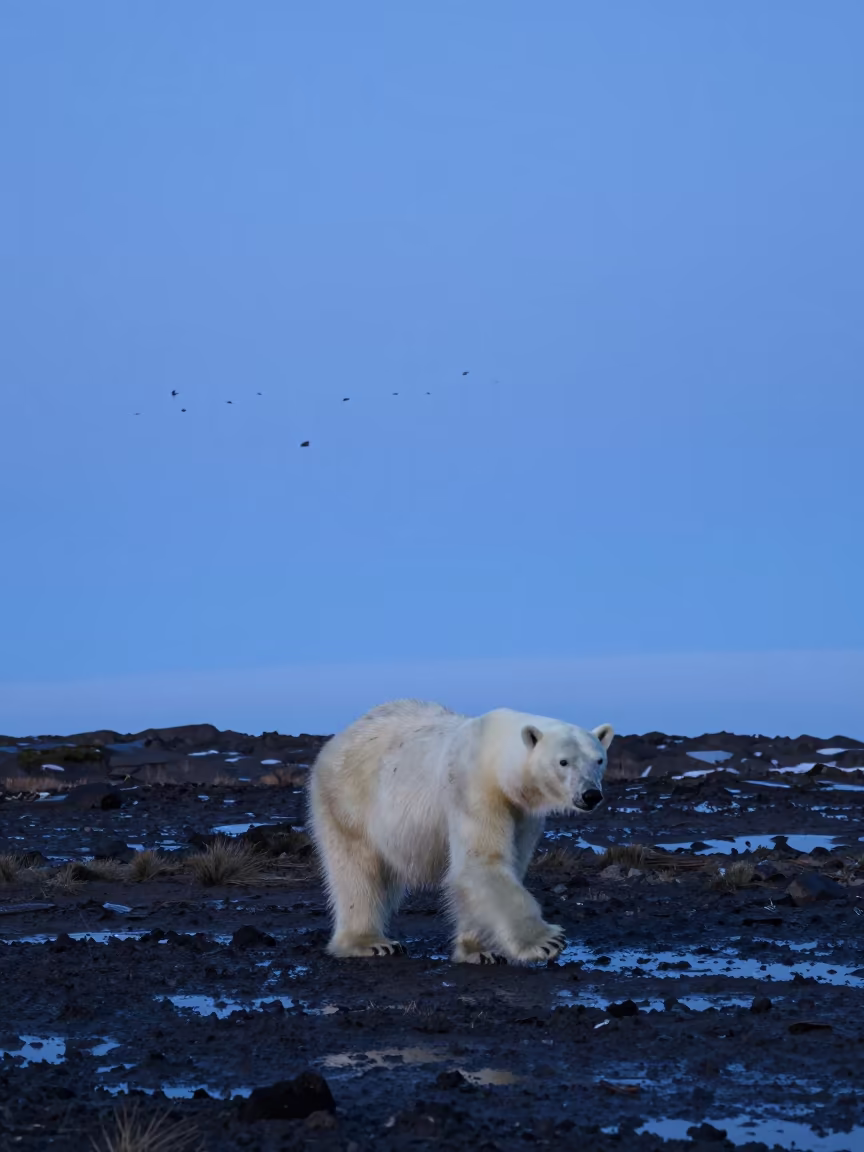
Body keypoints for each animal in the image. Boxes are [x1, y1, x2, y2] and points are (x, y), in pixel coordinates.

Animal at [307, 699, 613, 965]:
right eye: (563, 762)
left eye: (599, 760)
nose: (590, 794)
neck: (494, 753)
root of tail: (340, 737)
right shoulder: (474, 789)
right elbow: (482, 861)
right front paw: (546, 941)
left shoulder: (522, 812)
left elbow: (499, 870)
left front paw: (480, 951)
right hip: (349, 799)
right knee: (358, 871)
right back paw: (369, 942)